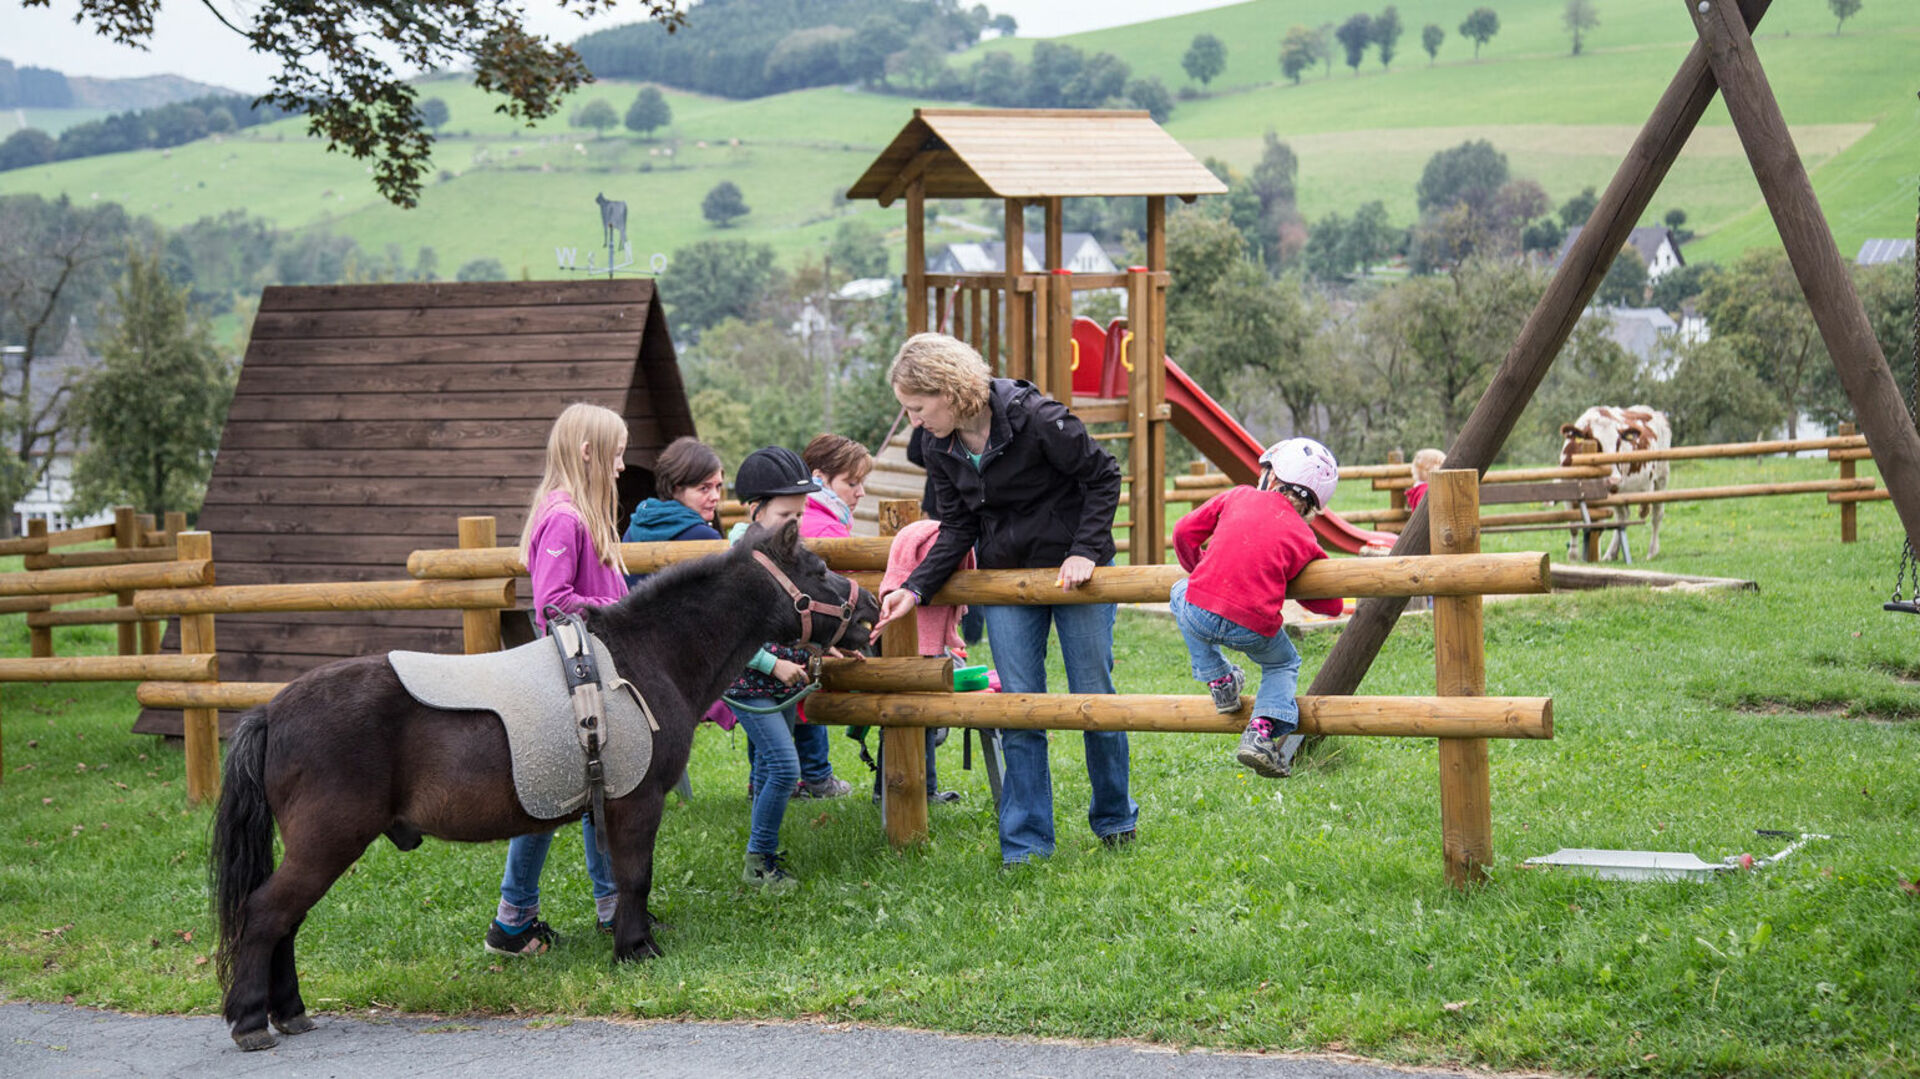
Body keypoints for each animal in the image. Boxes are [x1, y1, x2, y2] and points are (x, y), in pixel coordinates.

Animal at [210, 518, 871, 1044]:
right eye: (817, 568)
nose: (868, 609)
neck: (645, 657)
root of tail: (272, 711)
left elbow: (615, 877)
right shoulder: (638, 803)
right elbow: (635, 877)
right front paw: (635, 949)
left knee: (285, 921)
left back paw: (289, 1011)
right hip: (328, 843)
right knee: (266, 914)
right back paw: (251, 1020)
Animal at [1551, 401, 1674, 552]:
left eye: (1618, 443)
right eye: (1596, 443)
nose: (1613, 479)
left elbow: (1598, 528)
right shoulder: (1568, 491)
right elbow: (1574, 527)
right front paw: (1573, 554)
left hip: (1661, 479)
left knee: (1657, 513)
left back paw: (1652, 550)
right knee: (1623, 517)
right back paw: (1612, 553)